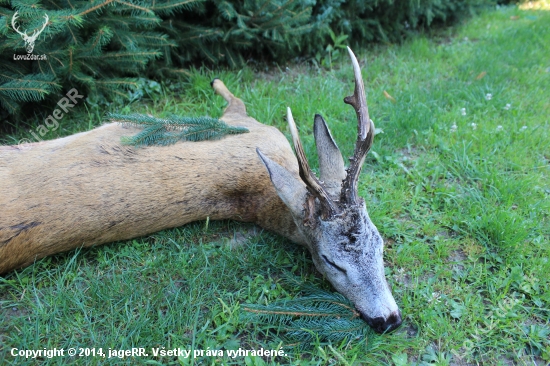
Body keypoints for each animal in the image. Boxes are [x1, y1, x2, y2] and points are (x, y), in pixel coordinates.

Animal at [1, 47, 406, 334]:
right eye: (330, 261)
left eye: (381, 245)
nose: (388, 320)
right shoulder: (251, 128)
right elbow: (235, 101)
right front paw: (216, 82)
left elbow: (236, 102)